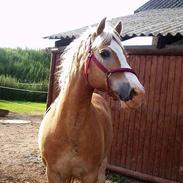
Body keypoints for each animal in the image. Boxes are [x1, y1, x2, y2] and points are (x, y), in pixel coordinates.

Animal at [38, 17, 145, 183]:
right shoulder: (54, 174)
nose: (138, 93)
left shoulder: (90, 175)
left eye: (125, 55)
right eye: (104, 53)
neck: (71, 130)